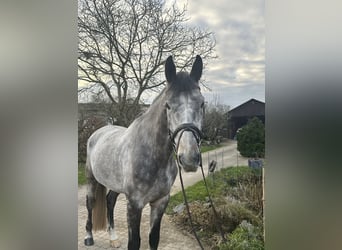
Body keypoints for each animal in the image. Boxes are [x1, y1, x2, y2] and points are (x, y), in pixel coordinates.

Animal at [84, 55, 204, 250]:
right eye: (168, 105)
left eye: (202, 103)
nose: (189, 158)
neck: (154, 156)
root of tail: (98, 132)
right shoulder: (134, 204)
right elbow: (134, 242)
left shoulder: (160, 202)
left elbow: (153, 238)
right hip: (91, 178)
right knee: (90, 203)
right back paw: (88, 237)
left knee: (110, 202)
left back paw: (113, 238)